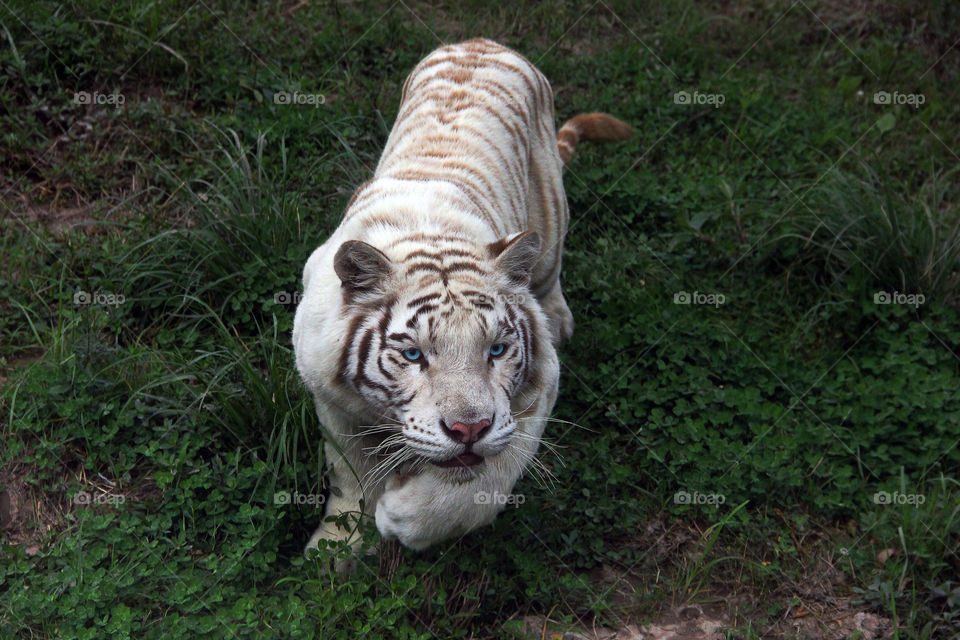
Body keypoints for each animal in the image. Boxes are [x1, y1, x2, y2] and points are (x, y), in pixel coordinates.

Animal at [296, 36, 632, 556]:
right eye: (413, 355)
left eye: (497, 350)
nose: (468, 430)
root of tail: (483, 43)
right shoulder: (331, 398)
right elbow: (350, 477)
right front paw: (335, 551)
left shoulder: (540, 383)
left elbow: (486, 479)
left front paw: (405, 516)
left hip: (550, 215)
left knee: (551, 269)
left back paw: (559, 317)